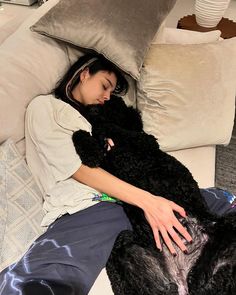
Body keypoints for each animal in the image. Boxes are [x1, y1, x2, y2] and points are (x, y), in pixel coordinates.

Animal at [72, 96, 236, 294]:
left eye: (110, 102)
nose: (91, 108)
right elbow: (91, 145)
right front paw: (88, 144)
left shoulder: (137, 143)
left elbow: (108, 132)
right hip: (123, 246)